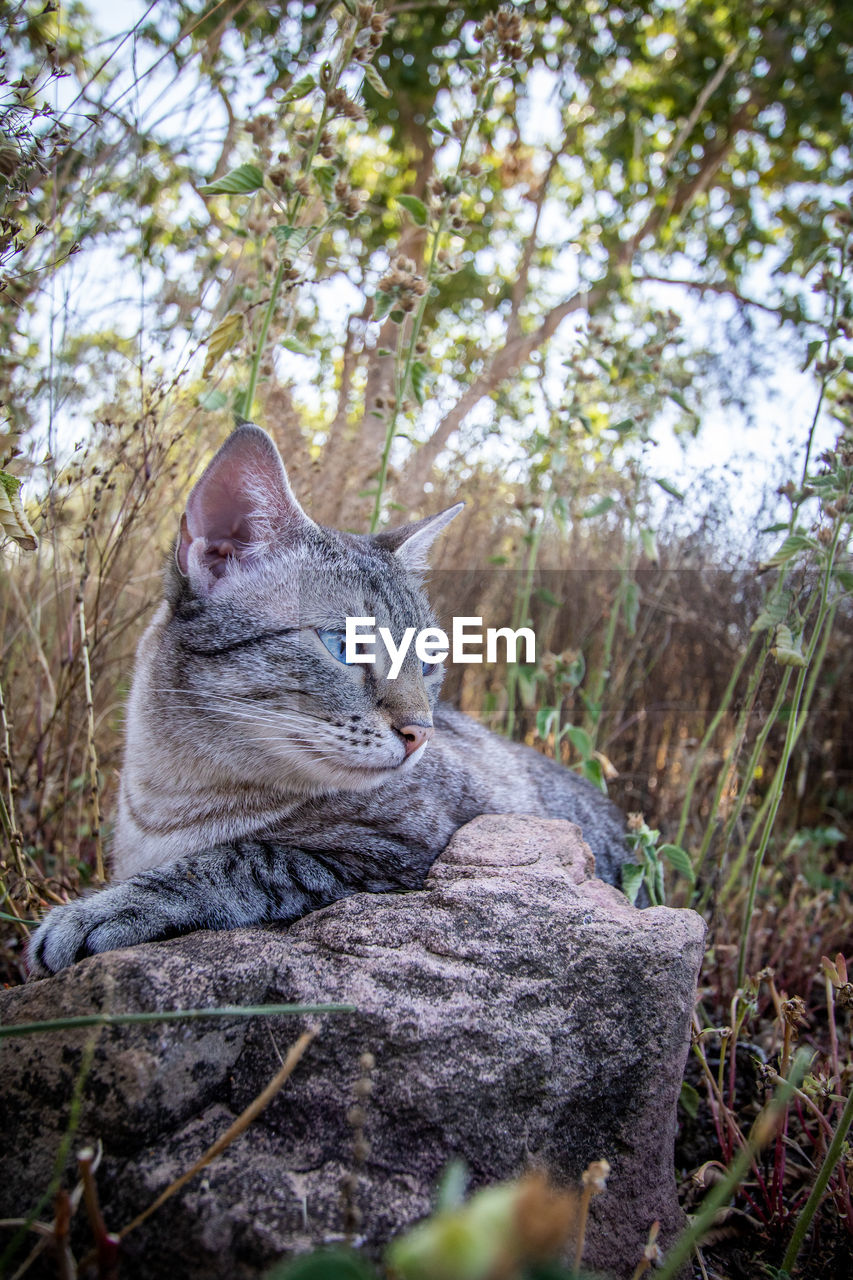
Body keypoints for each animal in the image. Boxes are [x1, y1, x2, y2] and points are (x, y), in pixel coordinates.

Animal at [26, 424, 630, 972]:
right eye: (344, 646)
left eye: (429, 661)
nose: (421, 732)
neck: (167, 797)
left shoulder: (402, 854)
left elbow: (239, 860)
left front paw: (99, 911)